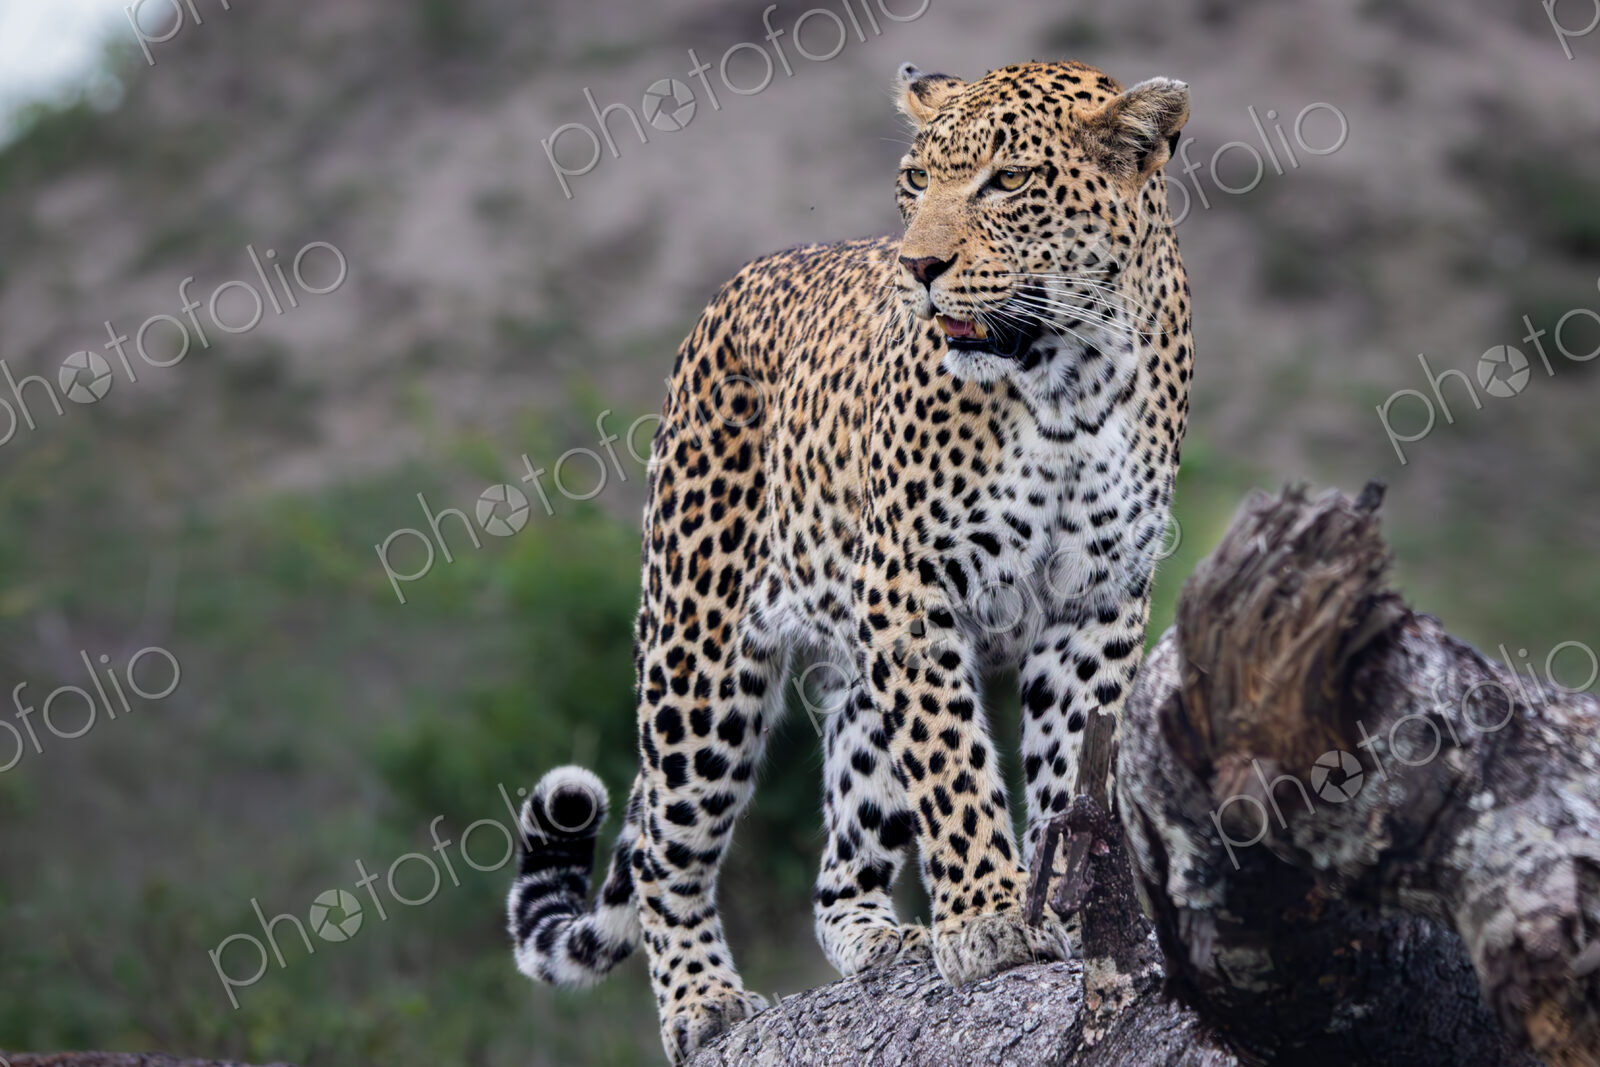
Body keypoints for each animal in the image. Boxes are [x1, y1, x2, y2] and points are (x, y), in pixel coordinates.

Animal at [505, 59, 1193, 1064]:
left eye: (1008, 181)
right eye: (915, 182)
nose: (919, 268)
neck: (1067, 377)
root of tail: (741, 281)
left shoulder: (1099, 601)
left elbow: (1072, 766)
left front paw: (1069, 910)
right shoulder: (911, 581)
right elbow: (952, 763)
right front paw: (991, 919)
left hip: (857, 671)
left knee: (842, 853)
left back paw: (879, 937)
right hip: (699, 658)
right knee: (670, 849)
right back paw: (703, 1002)